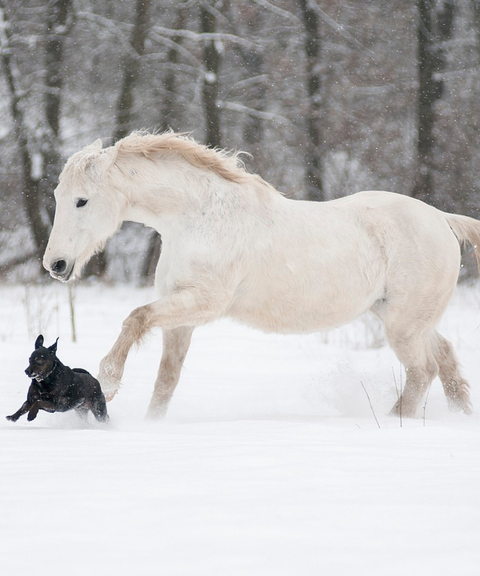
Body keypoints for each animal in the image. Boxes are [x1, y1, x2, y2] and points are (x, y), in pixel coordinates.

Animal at [42, 130, 480, 418]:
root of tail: (442, 219)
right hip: (401, 317)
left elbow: (135, 318)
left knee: (423, 371)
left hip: (403, 325)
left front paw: (108, 384)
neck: (197, 220)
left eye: (82, 201)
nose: (56, 265)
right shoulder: (181, 319)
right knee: (445, 362)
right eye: (58, 196)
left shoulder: (205, 303)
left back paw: (391, 421)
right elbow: (166, 381)